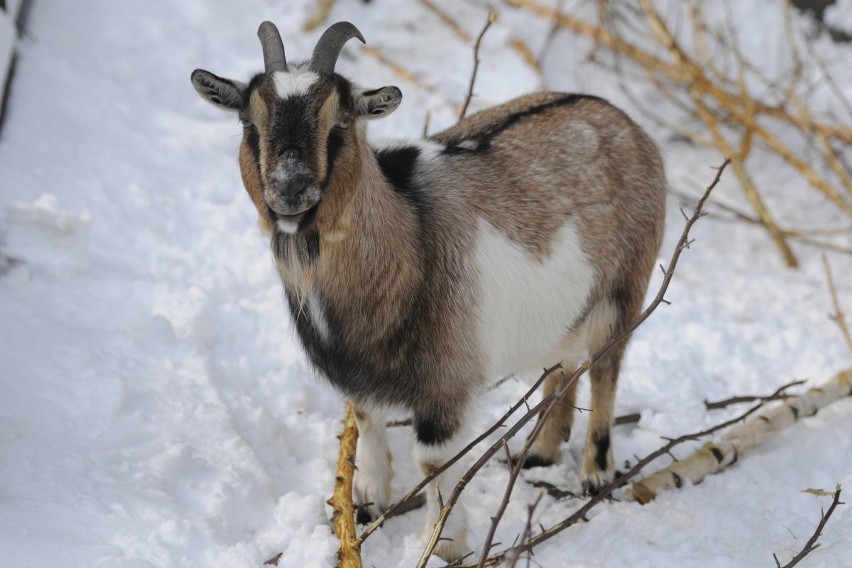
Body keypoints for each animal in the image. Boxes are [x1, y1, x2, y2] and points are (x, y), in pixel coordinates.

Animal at [191, 20, 664, 560]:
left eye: (341, 121)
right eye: (249, 121)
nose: (290, 188)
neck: (408, 241)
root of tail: (625, 123)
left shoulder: (446, 384)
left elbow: (433, 462)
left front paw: (444, 545)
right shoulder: (360, 377)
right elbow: (367, 422)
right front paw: (368, 500)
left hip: (624, 289)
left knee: (606, 367)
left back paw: (593, 473)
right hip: (566, 312)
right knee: (563, 365)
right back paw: (540, 453)